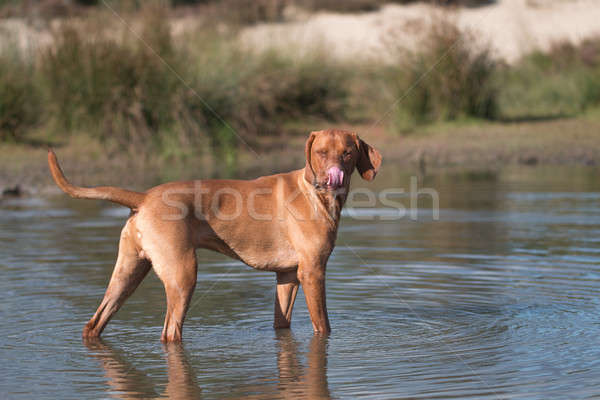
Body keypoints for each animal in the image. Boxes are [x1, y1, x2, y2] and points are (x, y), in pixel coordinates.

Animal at [49, 130, 382, 342]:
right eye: (320, 153)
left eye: (347, 153)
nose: (332, 177)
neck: (315, 195)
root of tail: (144, 197)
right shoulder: (313, 272)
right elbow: (323, 326)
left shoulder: (287, 276)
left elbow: (282, 323)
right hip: (182, 275)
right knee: (170, 333)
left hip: (128, 273)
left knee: (94, 324)